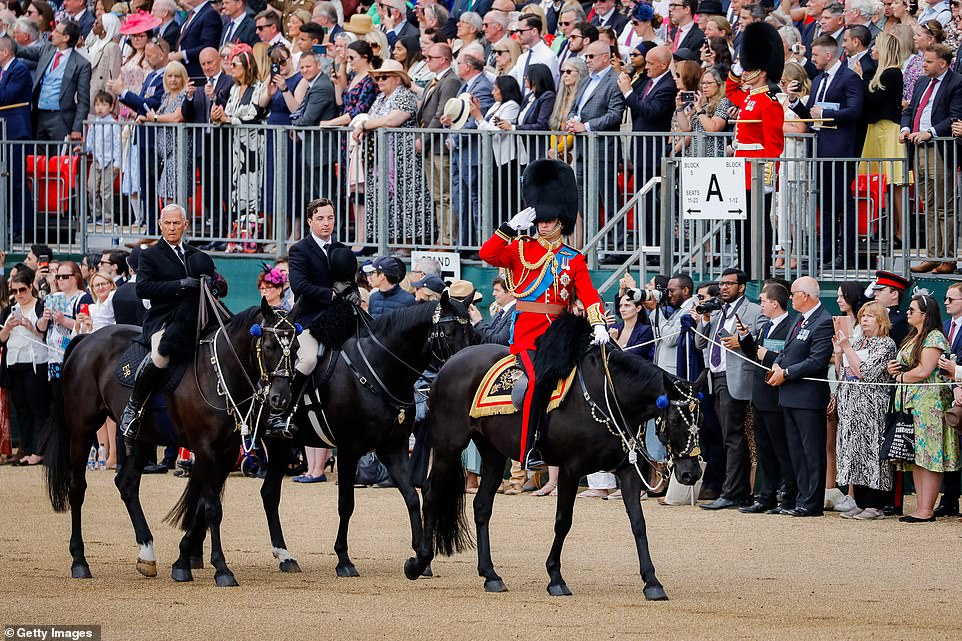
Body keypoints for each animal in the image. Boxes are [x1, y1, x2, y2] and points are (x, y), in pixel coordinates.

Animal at [45, 300, 298, 584]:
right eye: (269, 346)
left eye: (296, 348)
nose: (280, 399)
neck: (218, 371)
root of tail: (87, 339)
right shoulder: (206, 450)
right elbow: (212, 508)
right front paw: (221, 568)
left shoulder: (226, 451)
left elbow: (201, 505)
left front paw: (183, 560)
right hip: (82, 430)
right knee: (77, 488)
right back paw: (79, 560)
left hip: (142, 438)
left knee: (126, 484)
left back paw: (146, 553)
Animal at [256, 292, 478, 576]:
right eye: (449, 333)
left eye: (472, 332)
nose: (466, 368)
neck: (378, 369)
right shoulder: (349, 450)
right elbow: (346, 503)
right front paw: (344, 559)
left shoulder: (393, 449)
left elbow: (411, 496)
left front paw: (420, 558)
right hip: (276, 445)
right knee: (267, 493)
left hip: (282, 448)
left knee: (269, 493)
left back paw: (285, 556)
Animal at [402, 316, 700, 600]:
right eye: (676, 419)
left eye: (700, 420)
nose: (691, 474)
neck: (607, 395)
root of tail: (449, 364)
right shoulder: (570, 469)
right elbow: (563, 521)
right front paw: (556, 577)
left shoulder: (626, 470)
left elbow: (638, 523)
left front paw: (652, 581)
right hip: (448, 445)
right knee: (430, 494)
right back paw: (420, 562)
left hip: (493, 453)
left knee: (482, 506)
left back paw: (490, 575)